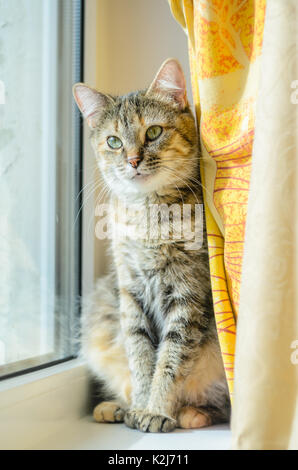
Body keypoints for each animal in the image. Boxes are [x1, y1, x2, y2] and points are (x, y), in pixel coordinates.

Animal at [73, 58, 230, 434]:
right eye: (114, 141)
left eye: (154, 132)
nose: (132, 160)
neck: (149, 215)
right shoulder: (130, 292)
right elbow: (141, 356)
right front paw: (141, 406)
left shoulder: (188, 296)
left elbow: (170, 361)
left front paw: (156, 410)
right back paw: (117, 407)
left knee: (221, 404)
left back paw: (193, 413)